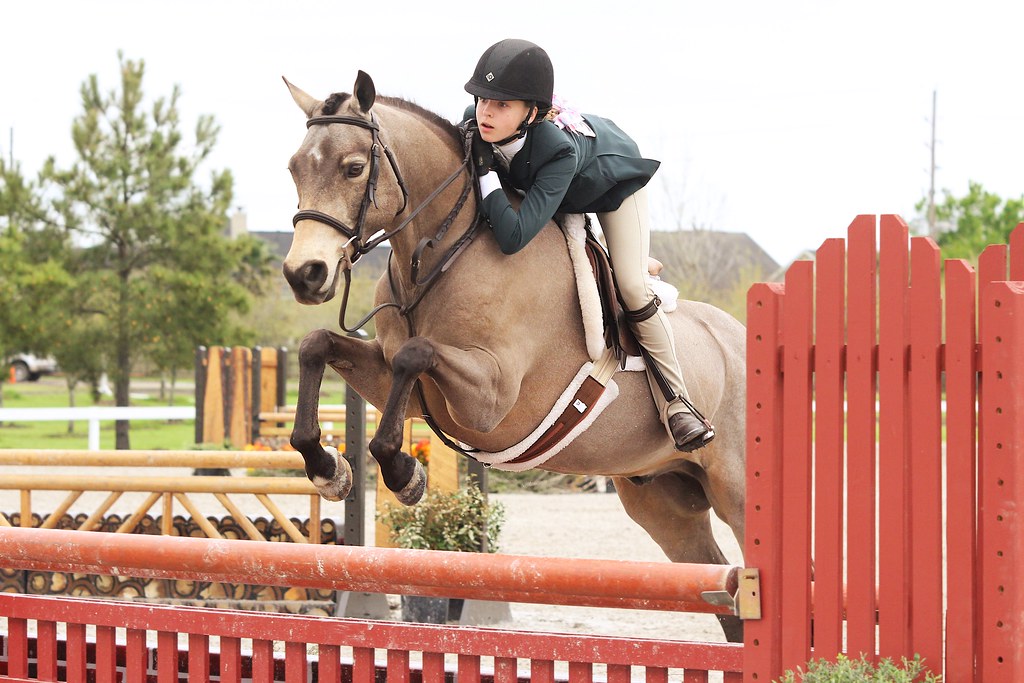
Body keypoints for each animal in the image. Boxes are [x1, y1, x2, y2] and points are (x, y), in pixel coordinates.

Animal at [280, 71, 748, 641]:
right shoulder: (406, 391)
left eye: (353, 168)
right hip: (662, 501)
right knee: (722, 592)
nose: (305, 275)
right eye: (295, 167)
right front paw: (327, 466)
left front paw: (403, 473)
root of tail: (740, 335)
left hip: (736, 490)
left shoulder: (491, 398)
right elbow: (318, 344)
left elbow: (416, 353)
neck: (437, 255)